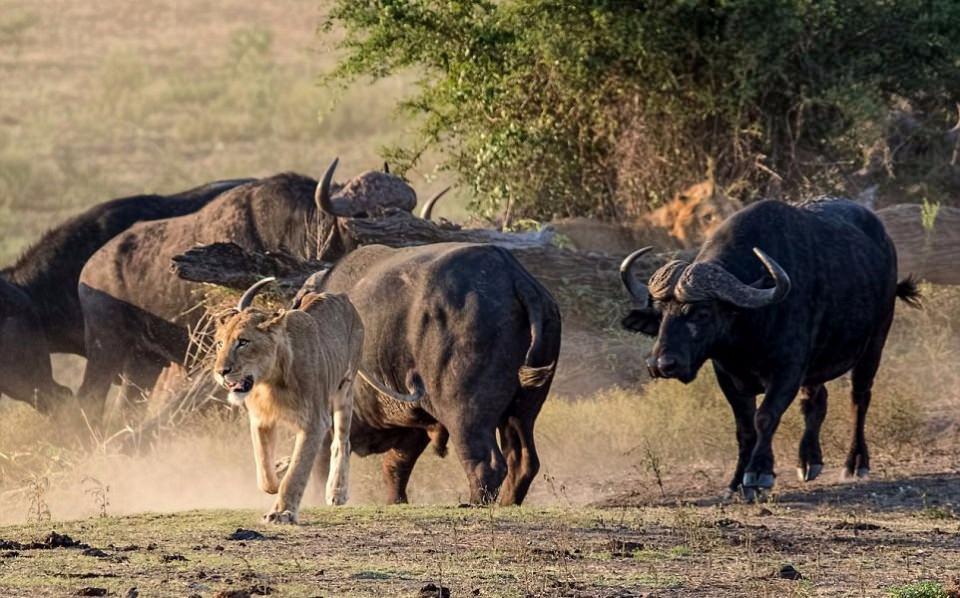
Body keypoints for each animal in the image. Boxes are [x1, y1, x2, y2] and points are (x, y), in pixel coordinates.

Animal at [214, 278, 424, 524]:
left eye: (243, 342)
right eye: (220, 344)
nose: (220, 372)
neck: (269, 382)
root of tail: (341, 296)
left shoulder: (314, 422)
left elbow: (297, 472)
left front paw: (281, 513)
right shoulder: (261, 421)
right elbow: (264, 470)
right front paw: (278, 470)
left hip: (345, 387)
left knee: (342, 442)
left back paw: (337, 491)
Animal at [294, 243, 564, 506]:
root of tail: (515, 277)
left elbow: (321, 464)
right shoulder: (413, 422)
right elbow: (395, 465)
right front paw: (396, 501)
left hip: (465, 413)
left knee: (487, 463)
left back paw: (473, 503)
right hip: (522, 411)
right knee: (523, 461)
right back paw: (508, 502)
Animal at [620, 199, 920, 500]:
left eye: (702, 313)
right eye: (660, 314)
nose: (661, 365)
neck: (748, 331)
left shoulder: (787, 371)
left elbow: (764, 417)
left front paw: (758, 474)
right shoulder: (728, 376)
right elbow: (744, 429)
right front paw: (736, 481)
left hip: (875, 342)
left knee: (859, 398)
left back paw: (855, 463)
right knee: (816, 401)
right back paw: (808, 461)